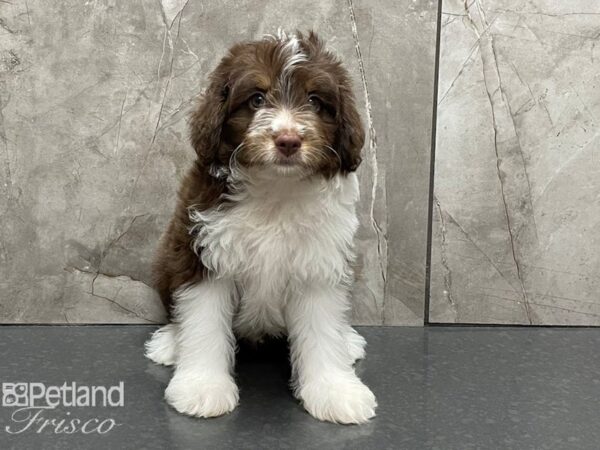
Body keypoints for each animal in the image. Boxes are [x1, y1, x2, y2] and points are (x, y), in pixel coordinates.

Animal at [146, 30, 378, 426]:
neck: (276, 189)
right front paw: (202, 387)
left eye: (315, 101)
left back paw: (347, 342)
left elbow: (321, 330)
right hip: (169, 256)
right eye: (256, 99)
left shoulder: (318, 264)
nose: (288, 141)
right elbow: (203, 323)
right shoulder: (205, 254)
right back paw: (170, 343)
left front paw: (334, 390)